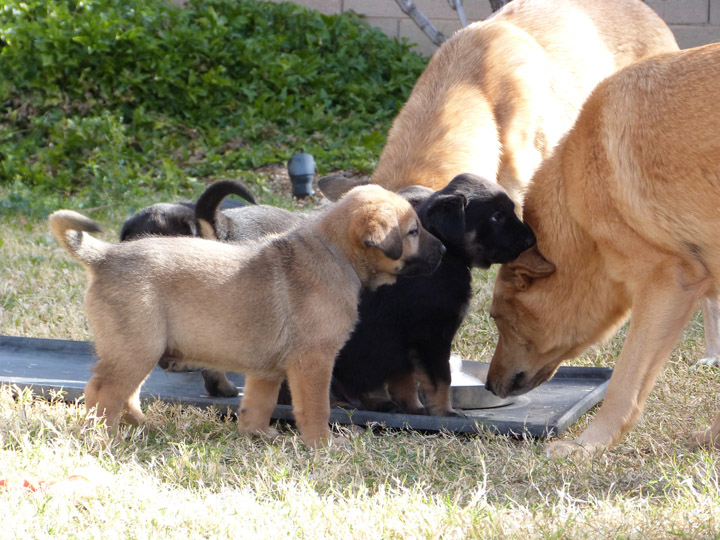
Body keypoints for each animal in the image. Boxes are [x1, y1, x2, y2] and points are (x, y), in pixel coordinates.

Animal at [49, 185, 444, 448]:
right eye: (413, 231)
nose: (442, 249)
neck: (335, 253)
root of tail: (105, 256)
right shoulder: (313, 362)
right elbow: (316, 409)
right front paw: (323, 444)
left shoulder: (267, 369)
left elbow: (259, 403)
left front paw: (258, 434)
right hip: (136, 348)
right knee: (102, 392)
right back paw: (103, 436)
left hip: (139, 350)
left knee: (126, 394)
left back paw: (146, 427)